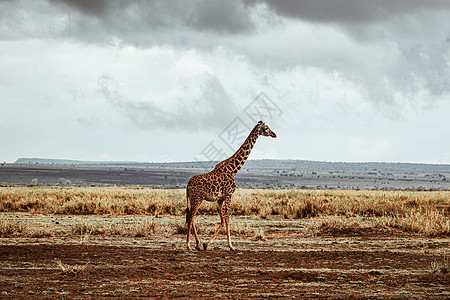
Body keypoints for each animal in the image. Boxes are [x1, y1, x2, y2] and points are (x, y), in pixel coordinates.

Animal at [185, 120, 276, 250]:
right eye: (266, 128)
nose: (274, 134)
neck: (233, 169)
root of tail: (187, 185)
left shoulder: (220, 199)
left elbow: (223, 220)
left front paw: (206, 244)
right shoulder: (229, 194)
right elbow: (227, 218)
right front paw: (231, 246)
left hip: (193, 199)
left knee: (191, 217)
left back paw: (197, 244)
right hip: (197, 198)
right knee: (191, 217)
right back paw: (188, 245)